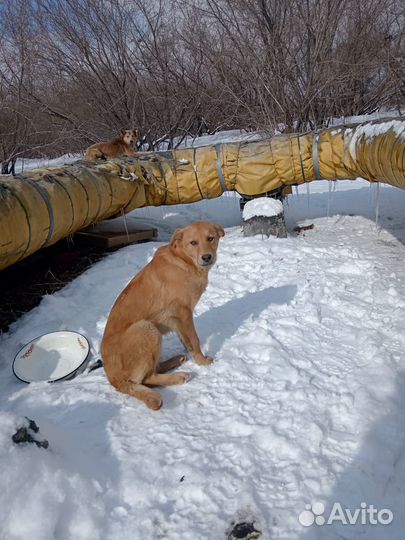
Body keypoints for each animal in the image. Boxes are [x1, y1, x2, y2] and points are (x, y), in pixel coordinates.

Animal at [99, 219, 223, 410]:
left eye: (211, 238)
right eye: (193, 242)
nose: (207, 257)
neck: (184, 261)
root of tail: (114, 381)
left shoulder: (178, 319)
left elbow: (186, 341)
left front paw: (192, 356)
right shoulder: (184, 313)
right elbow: (194, 341)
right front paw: (202, 361)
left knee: (152, 371)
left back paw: (175, 361)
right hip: (146, 328)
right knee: (147, 378)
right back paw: (179, 376)